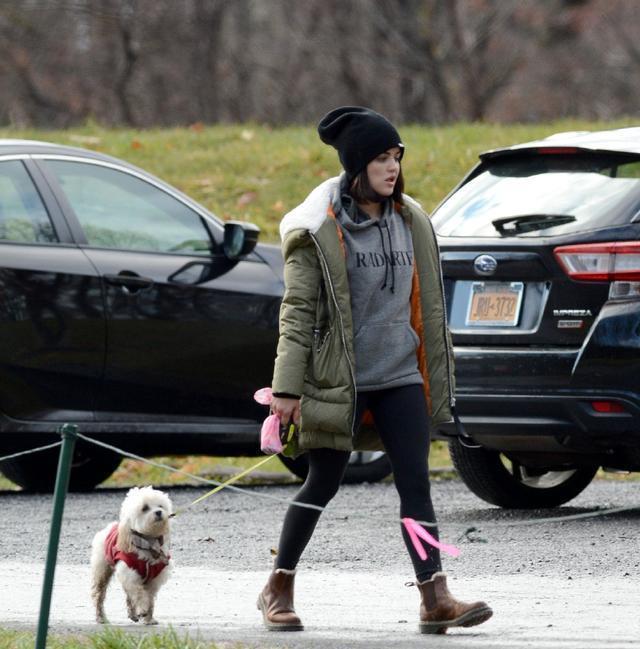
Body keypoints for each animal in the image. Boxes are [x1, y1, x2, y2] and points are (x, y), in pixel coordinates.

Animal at [90, 486, 174, 624]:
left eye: (160, 506)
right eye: (145, 508)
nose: (159, 512)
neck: (148, 543)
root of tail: (109, 527)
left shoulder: (154, 578)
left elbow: (149, 597)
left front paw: (149, 619)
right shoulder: (130, 574)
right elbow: (139, 593)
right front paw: (143, 610)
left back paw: (133, 614)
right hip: (102, 571)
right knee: (99, 595)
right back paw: (101, 617)